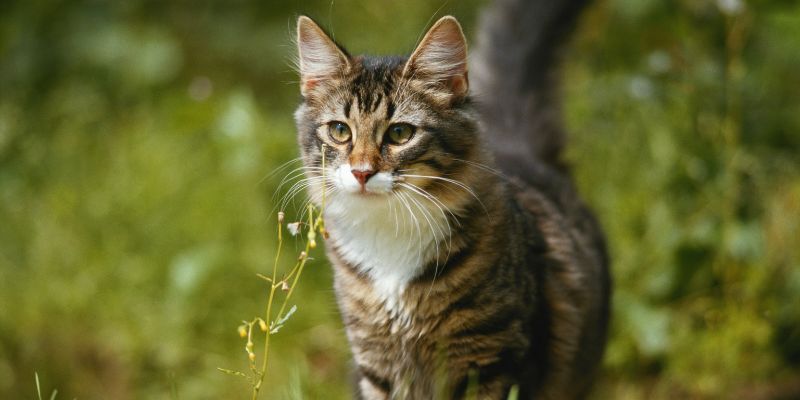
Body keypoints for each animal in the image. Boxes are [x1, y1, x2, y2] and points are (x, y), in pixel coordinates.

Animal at [290, 0, 608, 396]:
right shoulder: (377, 364)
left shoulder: (495, 362)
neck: (389, 235)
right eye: (339, 131)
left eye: (399, 133)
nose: (362, 172)